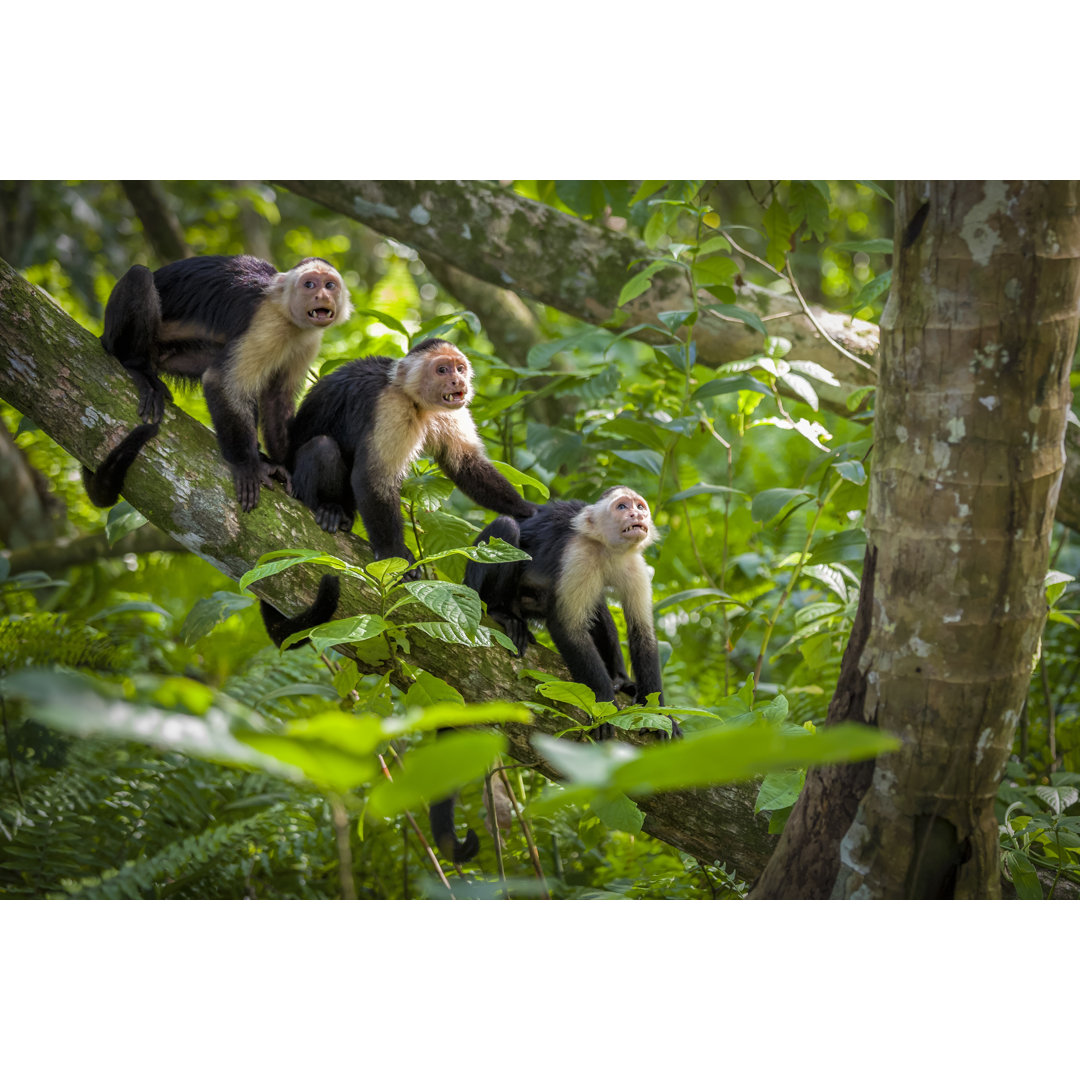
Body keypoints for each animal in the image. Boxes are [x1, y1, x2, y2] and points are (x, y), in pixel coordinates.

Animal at [85, 252, 354, 509]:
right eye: (309, 284)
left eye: (329, 285)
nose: (321, 295)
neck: (289, 317)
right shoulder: (267, 324)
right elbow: (222, 382)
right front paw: (248, 465)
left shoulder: (308, 340)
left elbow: (276, 398)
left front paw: (282, 463)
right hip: (120, 338)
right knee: (139, 277)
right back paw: (136, 366)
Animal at [287, 339, 535, 578]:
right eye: (442, 370)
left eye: (460, 368)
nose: (457, 381)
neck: (413, 397)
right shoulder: (392, 406)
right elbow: (373, 477)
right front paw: (394, 553)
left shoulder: (450, 411)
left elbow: (465, 463)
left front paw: (529, 510)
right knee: (323, 447)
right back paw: (330, 509)